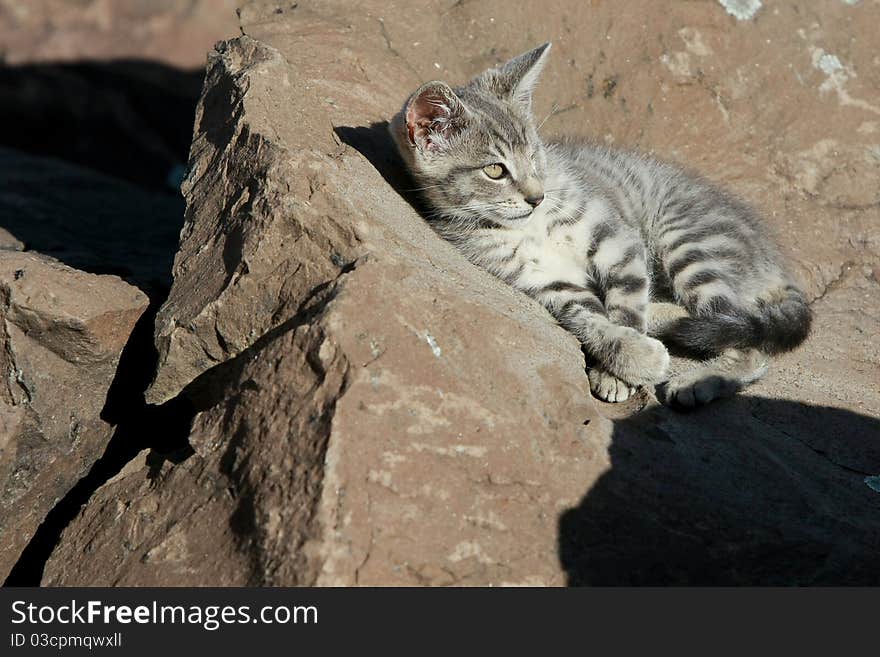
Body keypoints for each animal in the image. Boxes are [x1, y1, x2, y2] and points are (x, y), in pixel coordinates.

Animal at [388, 43, 816, 404]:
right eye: (495, 170)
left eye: (535, 157)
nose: (537, 196)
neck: (533, 227)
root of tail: (773, 258)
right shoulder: (548, 283)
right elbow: (592, 322)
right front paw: (627, 358)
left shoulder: (618, 242)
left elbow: (625, 307)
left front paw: (621, 370)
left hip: (687, 241)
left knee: (748, 342)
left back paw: (696, 379)